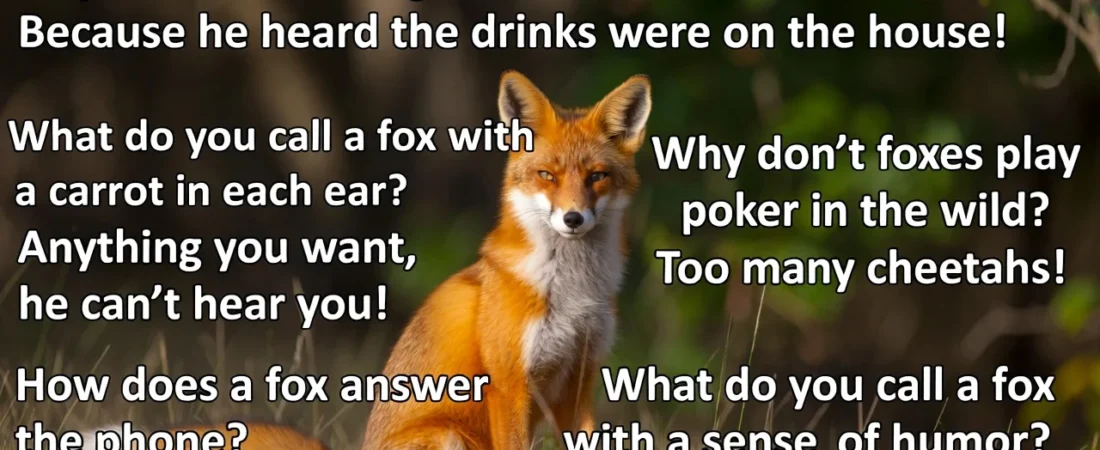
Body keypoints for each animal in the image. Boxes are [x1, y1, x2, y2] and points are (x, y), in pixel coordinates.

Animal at [75, 70, 651, 450]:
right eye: (547, 176)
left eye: (597, 177)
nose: (573, 219)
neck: (571, 292)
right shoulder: (510, 384)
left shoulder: (577, 384)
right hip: (446, 435)